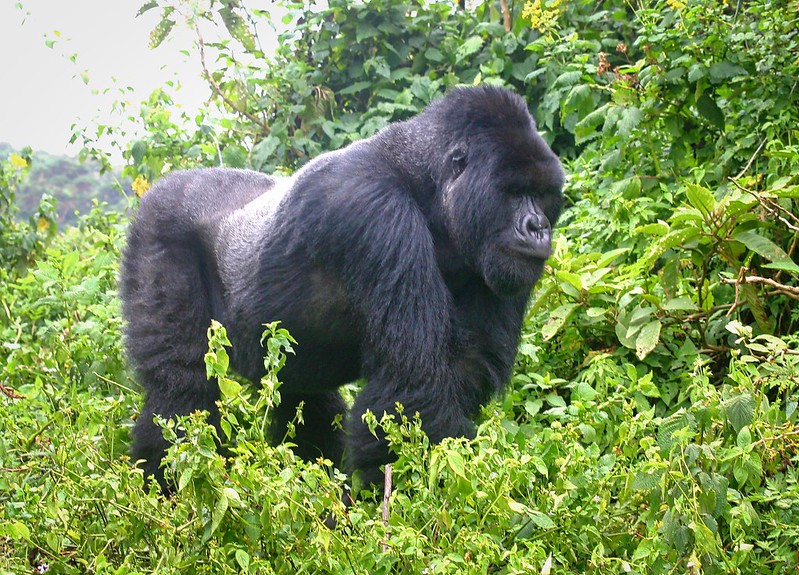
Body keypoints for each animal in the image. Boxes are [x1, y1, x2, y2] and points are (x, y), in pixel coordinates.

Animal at [122, 85, 564, 490]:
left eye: (543, 195)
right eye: (513, 192)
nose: (538, 228)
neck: (425, 185)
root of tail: (163, 185)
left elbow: (462, 370)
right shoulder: (374, 213)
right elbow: (413, 390)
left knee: (304, 398)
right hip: (156, 233)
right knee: (182, 396)